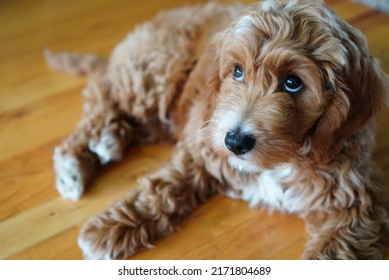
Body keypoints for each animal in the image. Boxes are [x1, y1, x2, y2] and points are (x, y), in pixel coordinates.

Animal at [46, 0, 388, 260]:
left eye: (293, 82)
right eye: (236, 71)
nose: (235, 141)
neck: (283, 160)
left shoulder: (354, 208)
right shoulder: (202, 145)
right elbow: (162, 188)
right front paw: (106, 230)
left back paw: (108, 141)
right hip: (152, 72)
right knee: (102, 94)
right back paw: (75, 164)